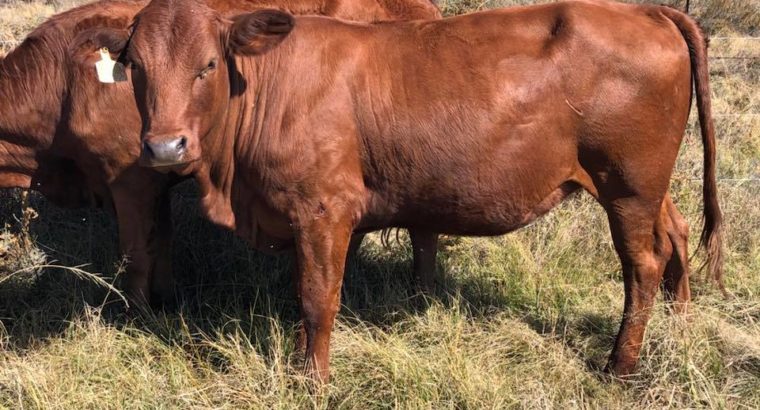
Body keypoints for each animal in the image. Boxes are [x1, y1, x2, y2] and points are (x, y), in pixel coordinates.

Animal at [0, 0, 442, 307]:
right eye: (135, 66)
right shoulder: (157, 176)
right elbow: (162, 242)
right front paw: (167, 301)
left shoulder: (131, 181)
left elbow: (137, 253)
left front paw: (137, 316)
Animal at [107, 0, 723, 381]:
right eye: (134, 66)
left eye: (208, 64)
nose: (165, 147)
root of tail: (646, 10)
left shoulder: (324, 210)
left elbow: (316, 299)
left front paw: (312, 380)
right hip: (645, 185)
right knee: (675, 232)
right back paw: (680, 324)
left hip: (627, 185)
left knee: (641, 264)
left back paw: (619, 365)